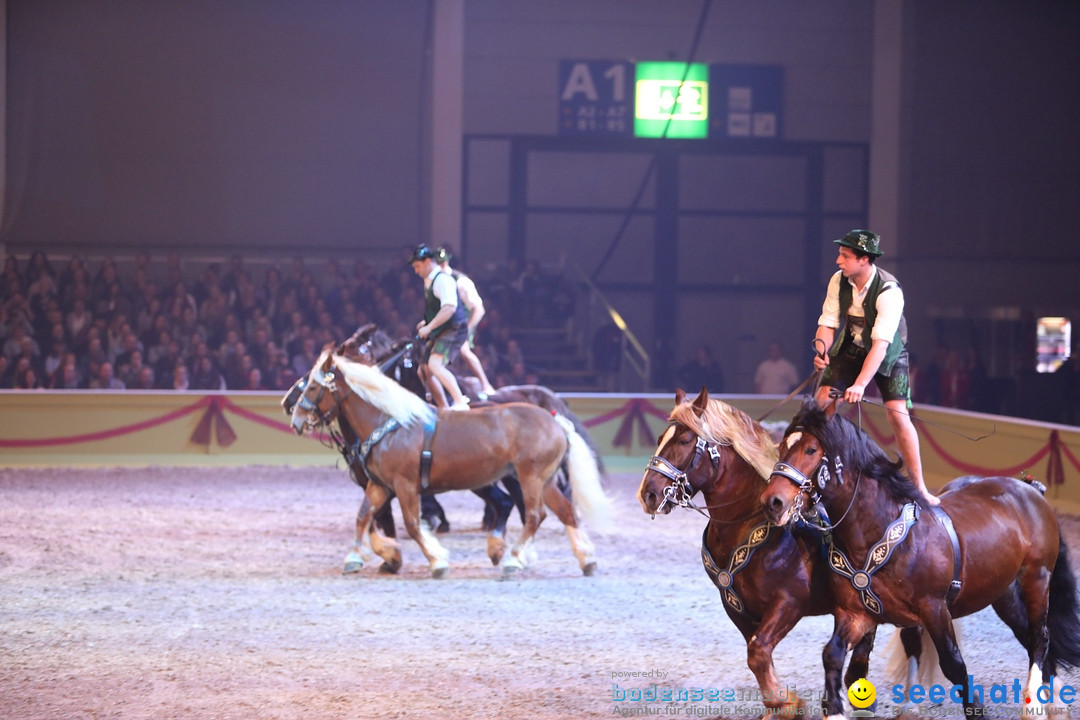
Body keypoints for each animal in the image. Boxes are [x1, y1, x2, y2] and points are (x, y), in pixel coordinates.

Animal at [291, 345, 613, 578]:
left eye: (312, 387)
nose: (294, 418)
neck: (390, 423)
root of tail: (556, 421)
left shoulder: (405, 485)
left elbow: (411, 524)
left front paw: (437, 561)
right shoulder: (381, 485)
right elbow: (363, 517)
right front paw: (359, 557)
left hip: (530, 479)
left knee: (535, 515)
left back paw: (513, 559)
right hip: (544, 481)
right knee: (565, 512)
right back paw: (585, 559)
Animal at [635, 390, 881, 716]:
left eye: (686, 440)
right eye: (662, 437)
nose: (648, 494)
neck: (747, 523)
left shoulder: (790, 603)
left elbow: (758, 651)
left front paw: (785, 703)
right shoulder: (736, 607)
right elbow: (757, 654)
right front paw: (779, 704)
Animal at [760, 397, 1080, 716]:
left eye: (811, 449)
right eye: (782, 446)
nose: (772, 502)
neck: (879, 533)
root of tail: (1029, 489)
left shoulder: (935, 609)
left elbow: (954, 664)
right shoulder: (857, 613)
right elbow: (833, 655)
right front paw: (838, 710)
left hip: (1036, 578)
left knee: (1040, 636)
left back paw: (1037, 703)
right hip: (1003, 593)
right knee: (1028, 635)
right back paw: (1053, 698)